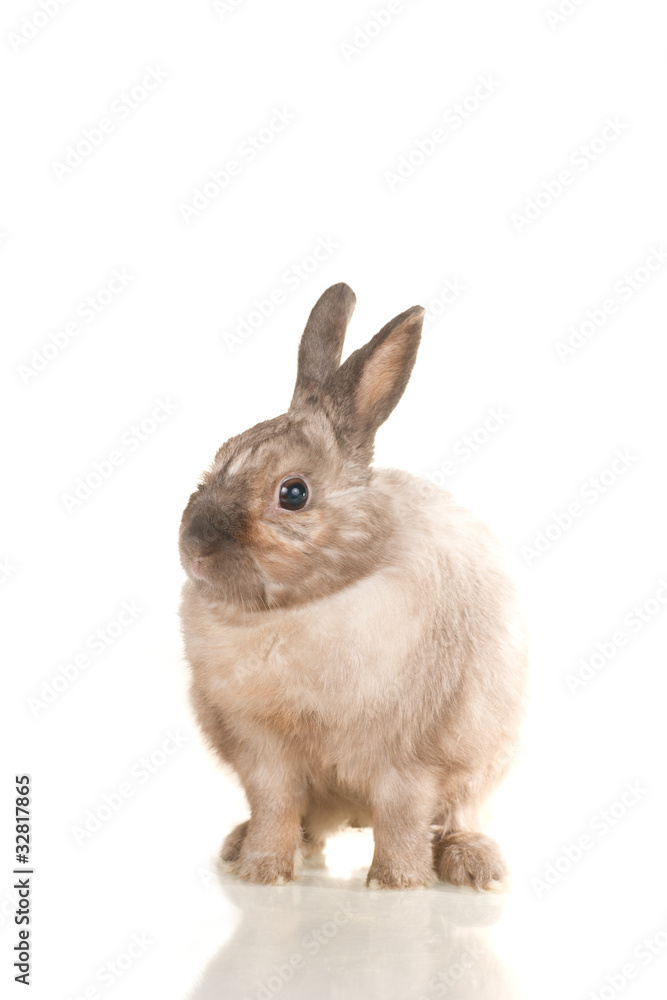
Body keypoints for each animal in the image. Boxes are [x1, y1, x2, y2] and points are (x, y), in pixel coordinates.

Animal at [179, 282, 528, 890]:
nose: (195, 548)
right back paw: (238, 845)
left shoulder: (407, 761)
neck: (300, 608)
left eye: (293, 493)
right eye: (219, 459)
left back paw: (473, 865)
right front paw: (261, 873)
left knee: (457, 815)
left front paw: (396, 884)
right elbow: (273, 808)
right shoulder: (263, 755)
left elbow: (403, 817)